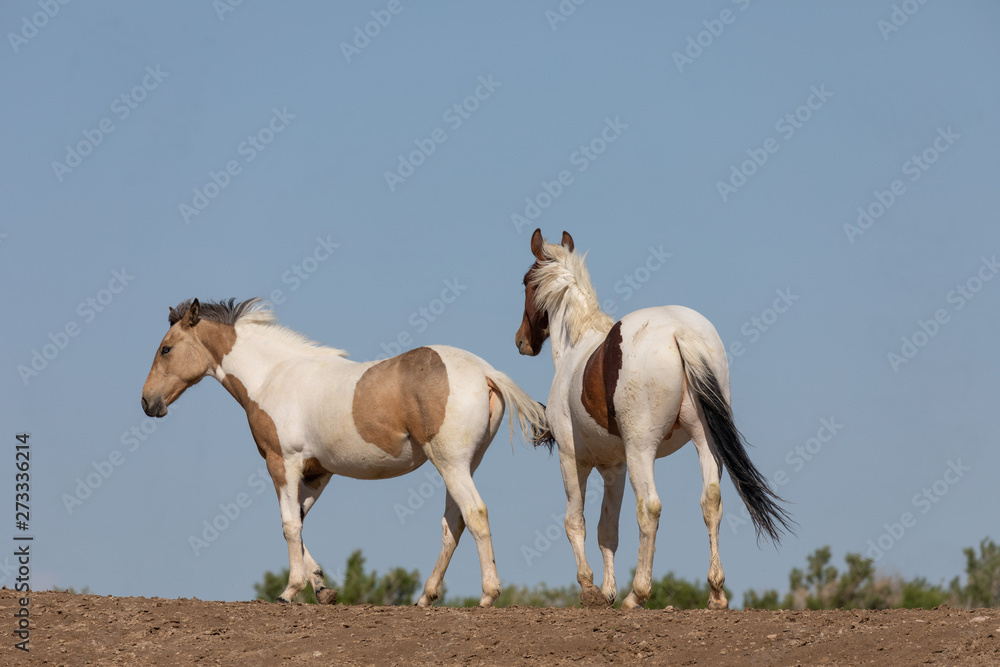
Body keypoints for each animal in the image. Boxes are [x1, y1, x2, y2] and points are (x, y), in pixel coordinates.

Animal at [141, 297, 548, 607]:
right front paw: (322, 588)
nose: (147, 402)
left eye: (166, 348)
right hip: (463, 465)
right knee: (455, 523)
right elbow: (299, 522)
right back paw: (425, 598)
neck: (273, 375)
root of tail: (485, 371)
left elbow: (289, 525)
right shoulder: (317, 471)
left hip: (451, 464)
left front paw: (289, 591)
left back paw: (488, 595)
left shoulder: (282, 463)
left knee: (475, 515)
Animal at [514, 229, 793, 609]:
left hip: (641, 451)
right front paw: (607, 592)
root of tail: (678, 331)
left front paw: (590, 589)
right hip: (705, 443)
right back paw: (716, 593)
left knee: (650, 508)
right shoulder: (613, 468)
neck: (578, 345)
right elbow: (607, 531)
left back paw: (638, 594)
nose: (521, 341)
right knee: (711, 500)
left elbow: (576, 522)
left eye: (526, 282)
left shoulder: (573, 459)